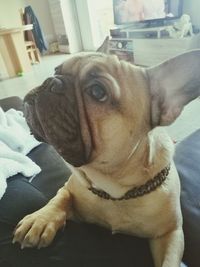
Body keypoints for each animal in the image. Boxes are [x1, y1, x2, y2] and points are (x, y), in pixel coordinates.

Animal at [12, 49, 200, 266]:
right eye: (56, 70)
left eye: (97, 92)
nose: (51, 81)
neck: (113, 189)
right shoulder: (69, 187)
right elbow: (59, 198)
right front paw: (41, 219)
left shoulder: (171, 233)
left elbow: (168, 262)